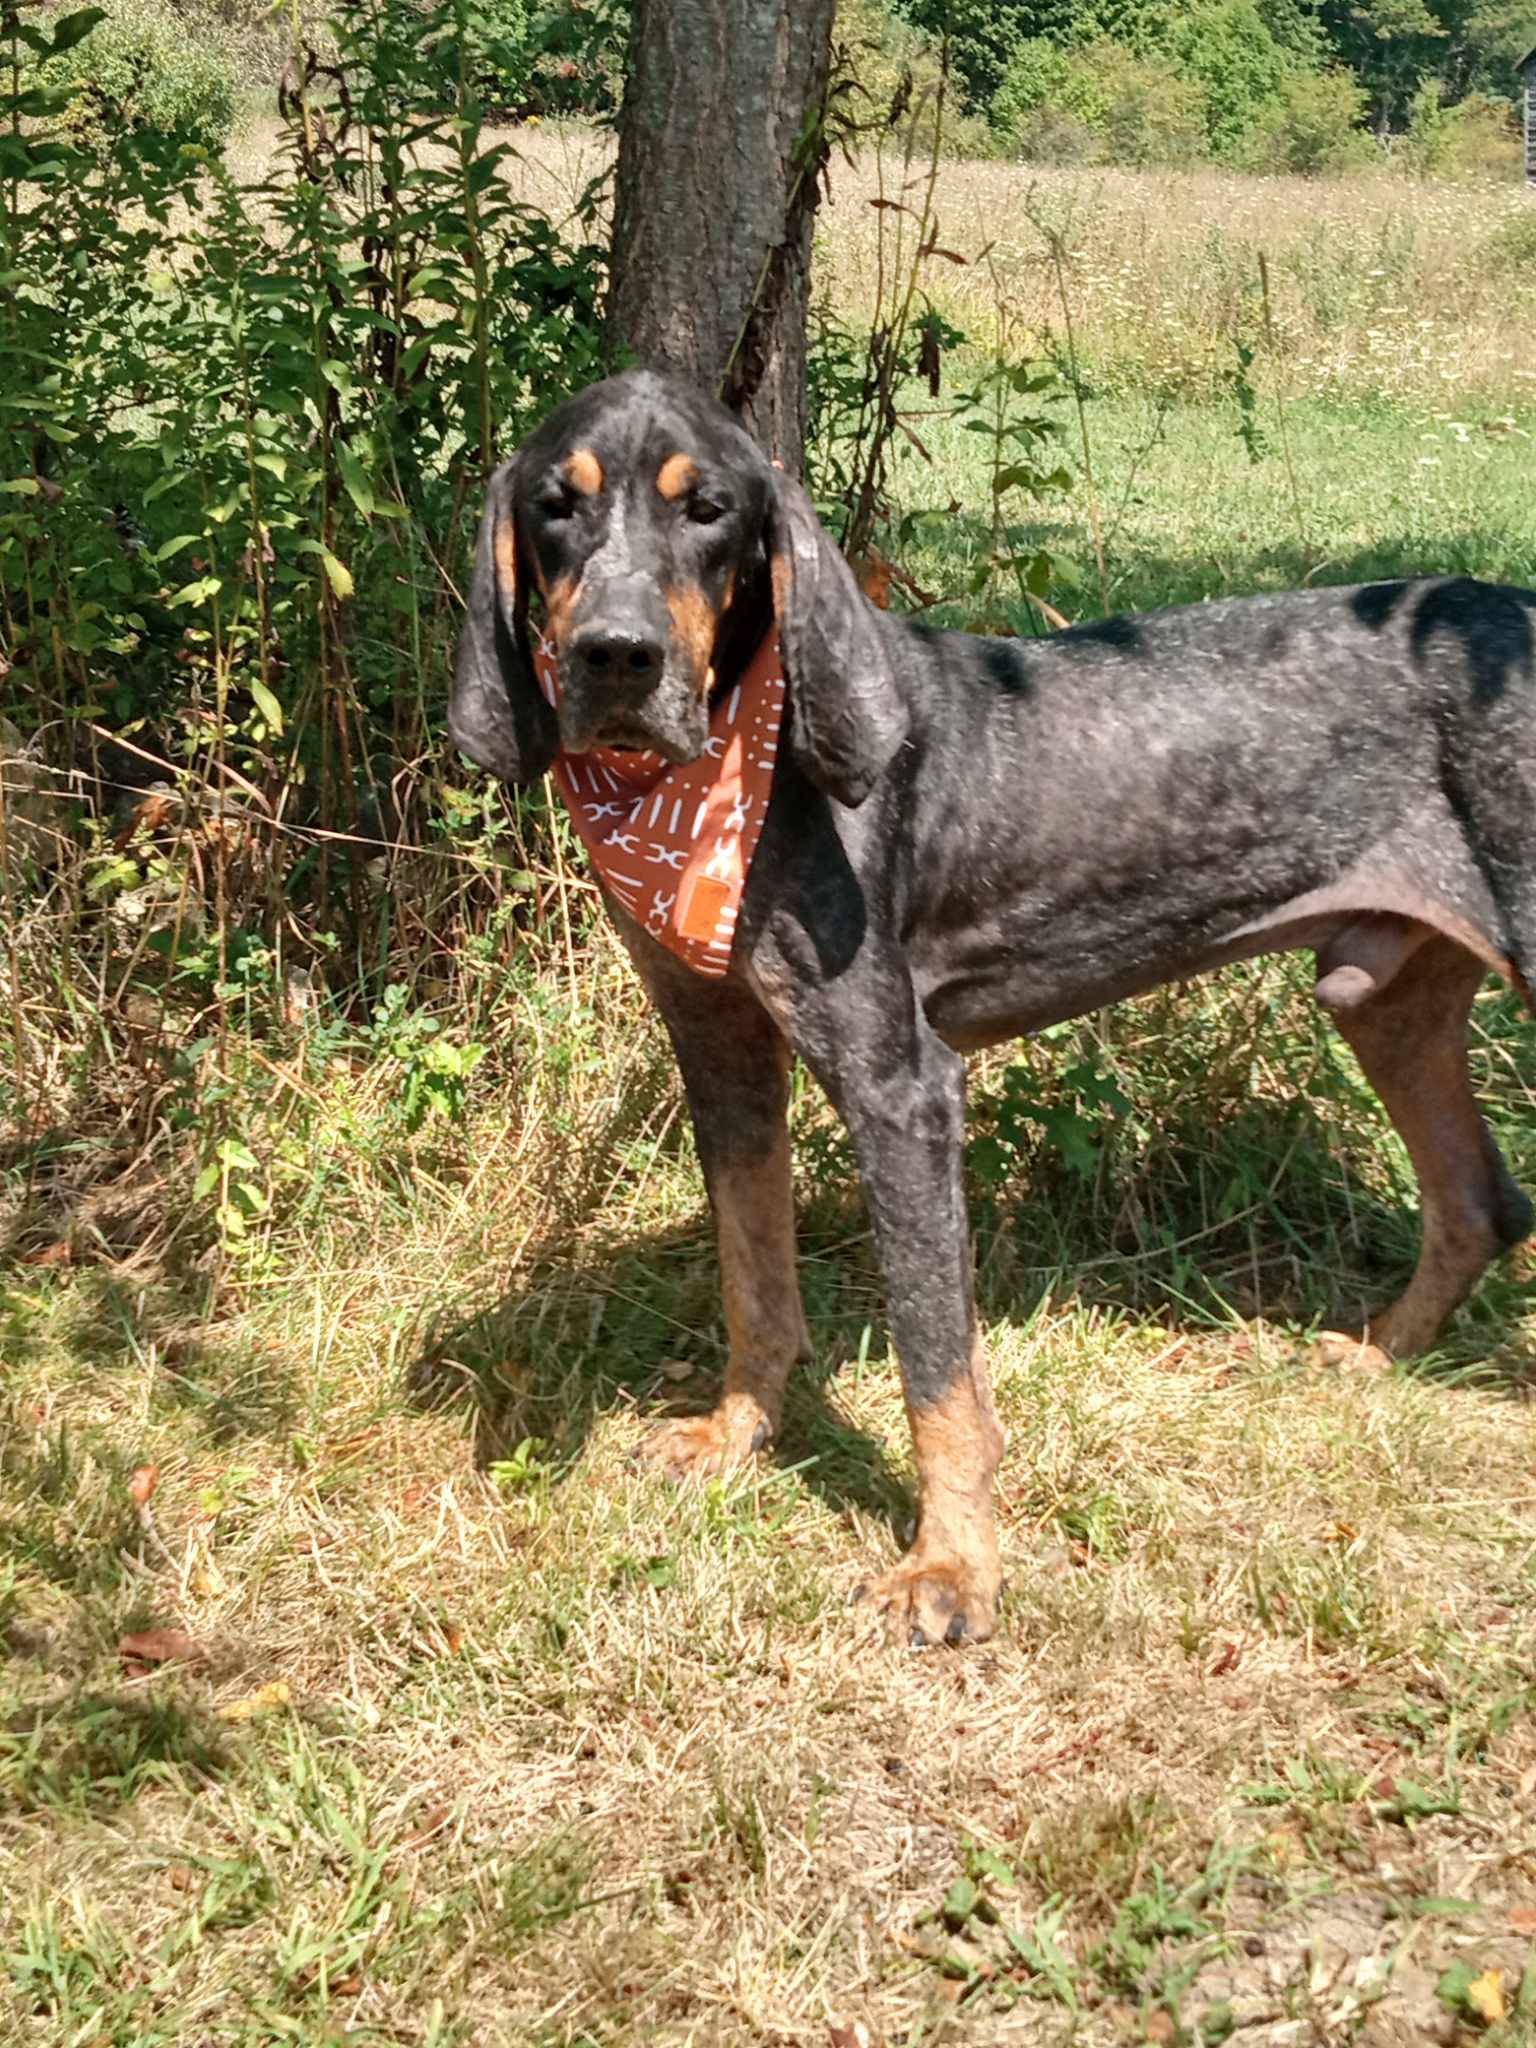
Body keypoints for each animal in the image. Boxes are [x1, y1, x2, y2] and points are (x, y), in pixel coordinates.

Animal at [450, 368, 1536, 1646]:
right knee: (1479, 1200)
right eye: (554, 507)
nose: (617, 655)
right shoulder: (720, 1049)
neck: (728, 767)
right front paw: (738, 1436)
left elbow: (936, 1366)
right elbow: (754, 1276)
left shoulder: (902, 1089)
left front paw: (953, 1567)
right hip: (1384, 999)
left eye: (708, 507)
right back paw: (1376, 1356)